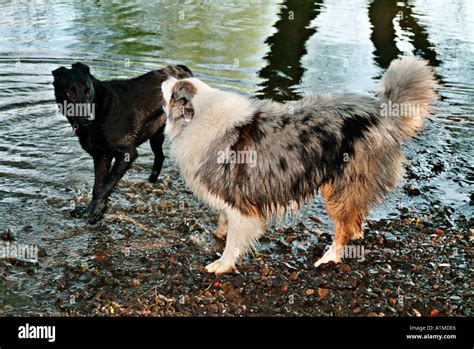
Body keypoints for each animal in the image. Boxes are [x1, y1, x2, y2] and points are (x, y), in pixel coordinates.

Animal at [52, 61, 193, 223]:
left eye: (88, 91)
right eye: (69, 93)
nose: (88, 118)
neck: (99, 108)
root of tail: (183, 69)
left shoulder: (127, 154)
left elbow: (106, 185)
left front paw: (94, 211)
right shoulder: (101, 157)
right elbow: (98, 187)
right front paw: (95, 210)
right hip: (156, 135)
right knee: (160, 157)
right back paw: (150, 183)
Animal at [160, 57, 436, 274]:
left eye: (174, 93)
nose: (166, 75)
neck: (199, 117)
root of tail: (383, 112)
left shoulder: (241, 201)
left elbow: (234, 240)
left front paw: (222, 264)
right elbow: (223, 220)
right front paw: (218, 234)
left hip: (338, 186)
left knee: (343, 226)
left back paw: (329, 258)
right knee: (355, 218)